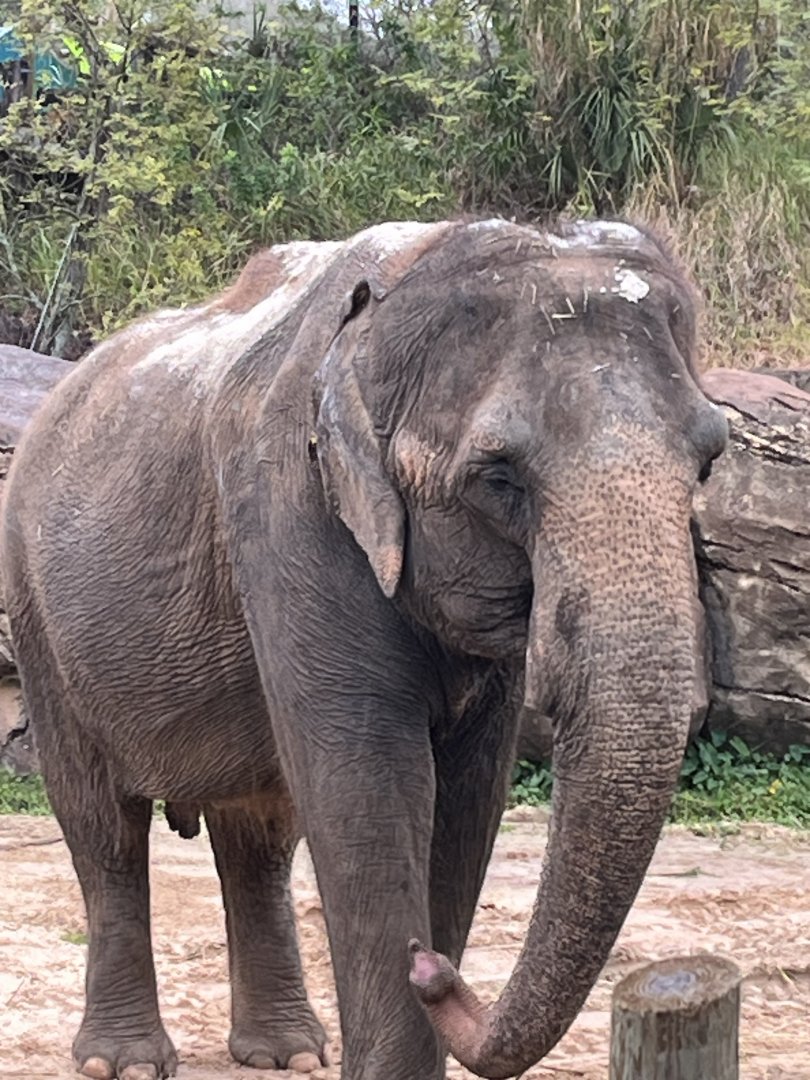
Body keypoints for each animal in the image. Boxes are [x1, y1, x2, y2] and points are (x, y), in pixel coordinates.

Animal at [0, 217, 727, 1080]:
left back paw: (286, 1054)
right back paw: (127, 1063)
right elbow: (369, 781)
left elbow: (466, 797)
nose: (432, 968)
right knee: (102, 823)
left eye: (710, 461)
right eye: (498, 478)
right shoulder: (289, 512)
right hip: (35, 609)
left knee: (259, 832)